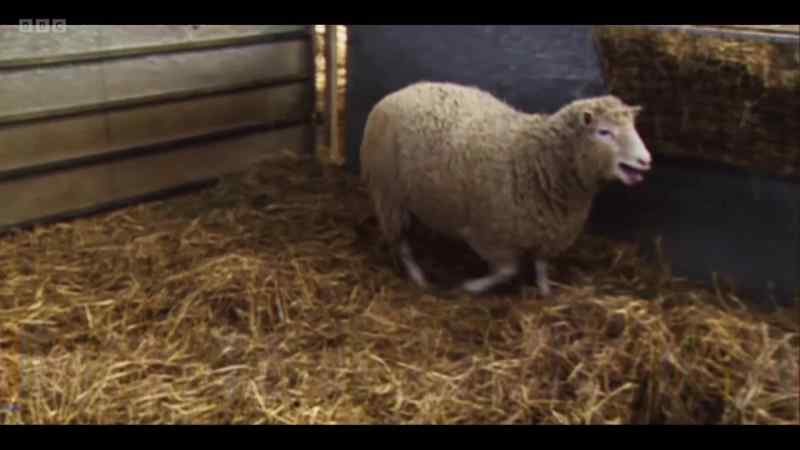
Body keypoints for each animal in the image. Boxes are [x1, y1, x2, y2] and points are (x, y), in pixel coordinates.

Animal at [359, 81, 652, 296]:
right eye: (604, 132)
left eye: (634, 127)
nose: (646, 160)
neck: (536, 159)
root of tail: (400, 92)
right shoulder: (490, 235)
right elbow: (507, 271)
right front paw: (471, 286)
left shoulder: (548, 232)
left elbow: (541, 266)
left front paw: (545, 292)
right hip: (388, 195)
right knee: (401, 243)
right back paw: (418, 276)